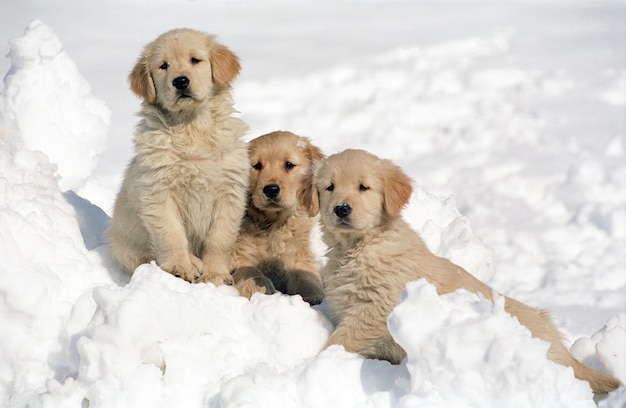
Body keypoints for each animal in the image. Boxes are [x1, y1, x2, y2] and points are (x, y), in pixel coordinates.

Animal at [106, 28, 247, 286]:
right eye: (163, 66)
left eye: (195, 60)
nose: (180, 81)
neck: (190, 127)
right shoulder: (158, 193)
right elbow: (170, 236)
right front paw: (181, 268)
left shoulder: (229, 192)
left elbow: (220, 239)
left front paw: (215, 274)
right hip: (123, 245)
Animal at [232, 129, 324, 304]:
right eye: (257, 166)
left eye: (289, 165)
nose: (271, 189)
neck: (273, 222)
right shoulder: (240, 252)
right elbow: (250, 270)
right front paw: (257, 287)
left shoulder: (297, 253)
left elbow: (304, 273)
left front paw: (312, 294)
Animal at [304, 148, 620, 394]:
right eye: (329, 187)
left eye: (363, 187)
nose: (341, 209)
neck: (360, 246)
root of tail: (563, 351)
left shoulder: (374, 309)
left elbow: (339, 341)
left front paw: (313, 364)